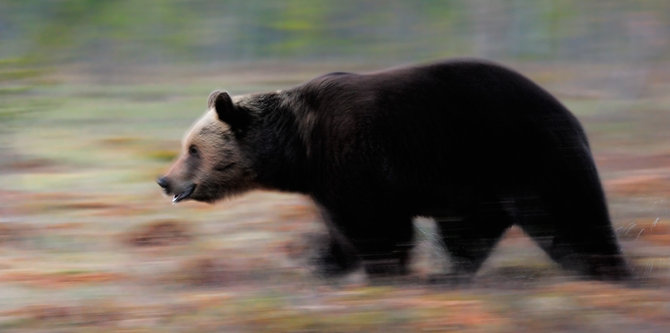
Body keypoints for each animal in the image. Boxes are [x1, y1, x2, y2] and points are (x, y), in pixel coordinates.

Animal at [160, 59, 632, 280]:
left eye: (192, 149)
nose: (165, 180)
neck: (298, 146)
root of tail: (567, 114)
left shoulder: (354, 161)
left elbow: (375, 228)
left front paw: (385, 270)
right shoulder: (329, 182)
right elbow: (341, 233)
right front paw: (321, 263)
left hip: (520, 154)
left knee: (569, 218)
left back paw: (606, 270)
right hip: (479, 183)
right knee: (469, 235)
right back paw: (450, 274)